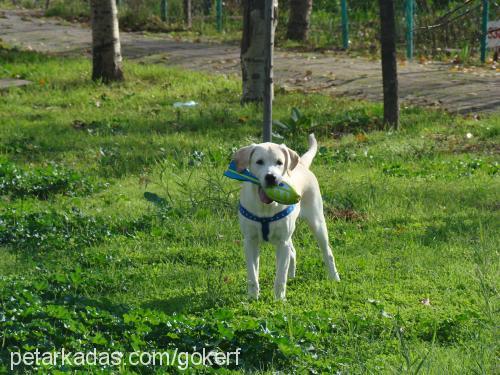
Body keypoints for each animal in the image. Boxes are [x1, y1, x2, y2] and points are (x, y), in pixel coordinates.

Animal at [233, 134, 342, 302]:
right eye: (259, 161)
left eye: (279, 162)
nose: (271, 177)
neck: (266, 207)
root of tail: (302, 164)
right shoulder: (250, 241)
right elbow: (252, 274)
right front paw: (252, 298)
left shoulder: (282, 242)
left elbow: (280, 276)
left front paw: (279, 300)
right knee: (293, 251)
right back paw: (292, 275)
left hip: (317, 222)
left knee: (327, 252)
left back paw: (334, 278)